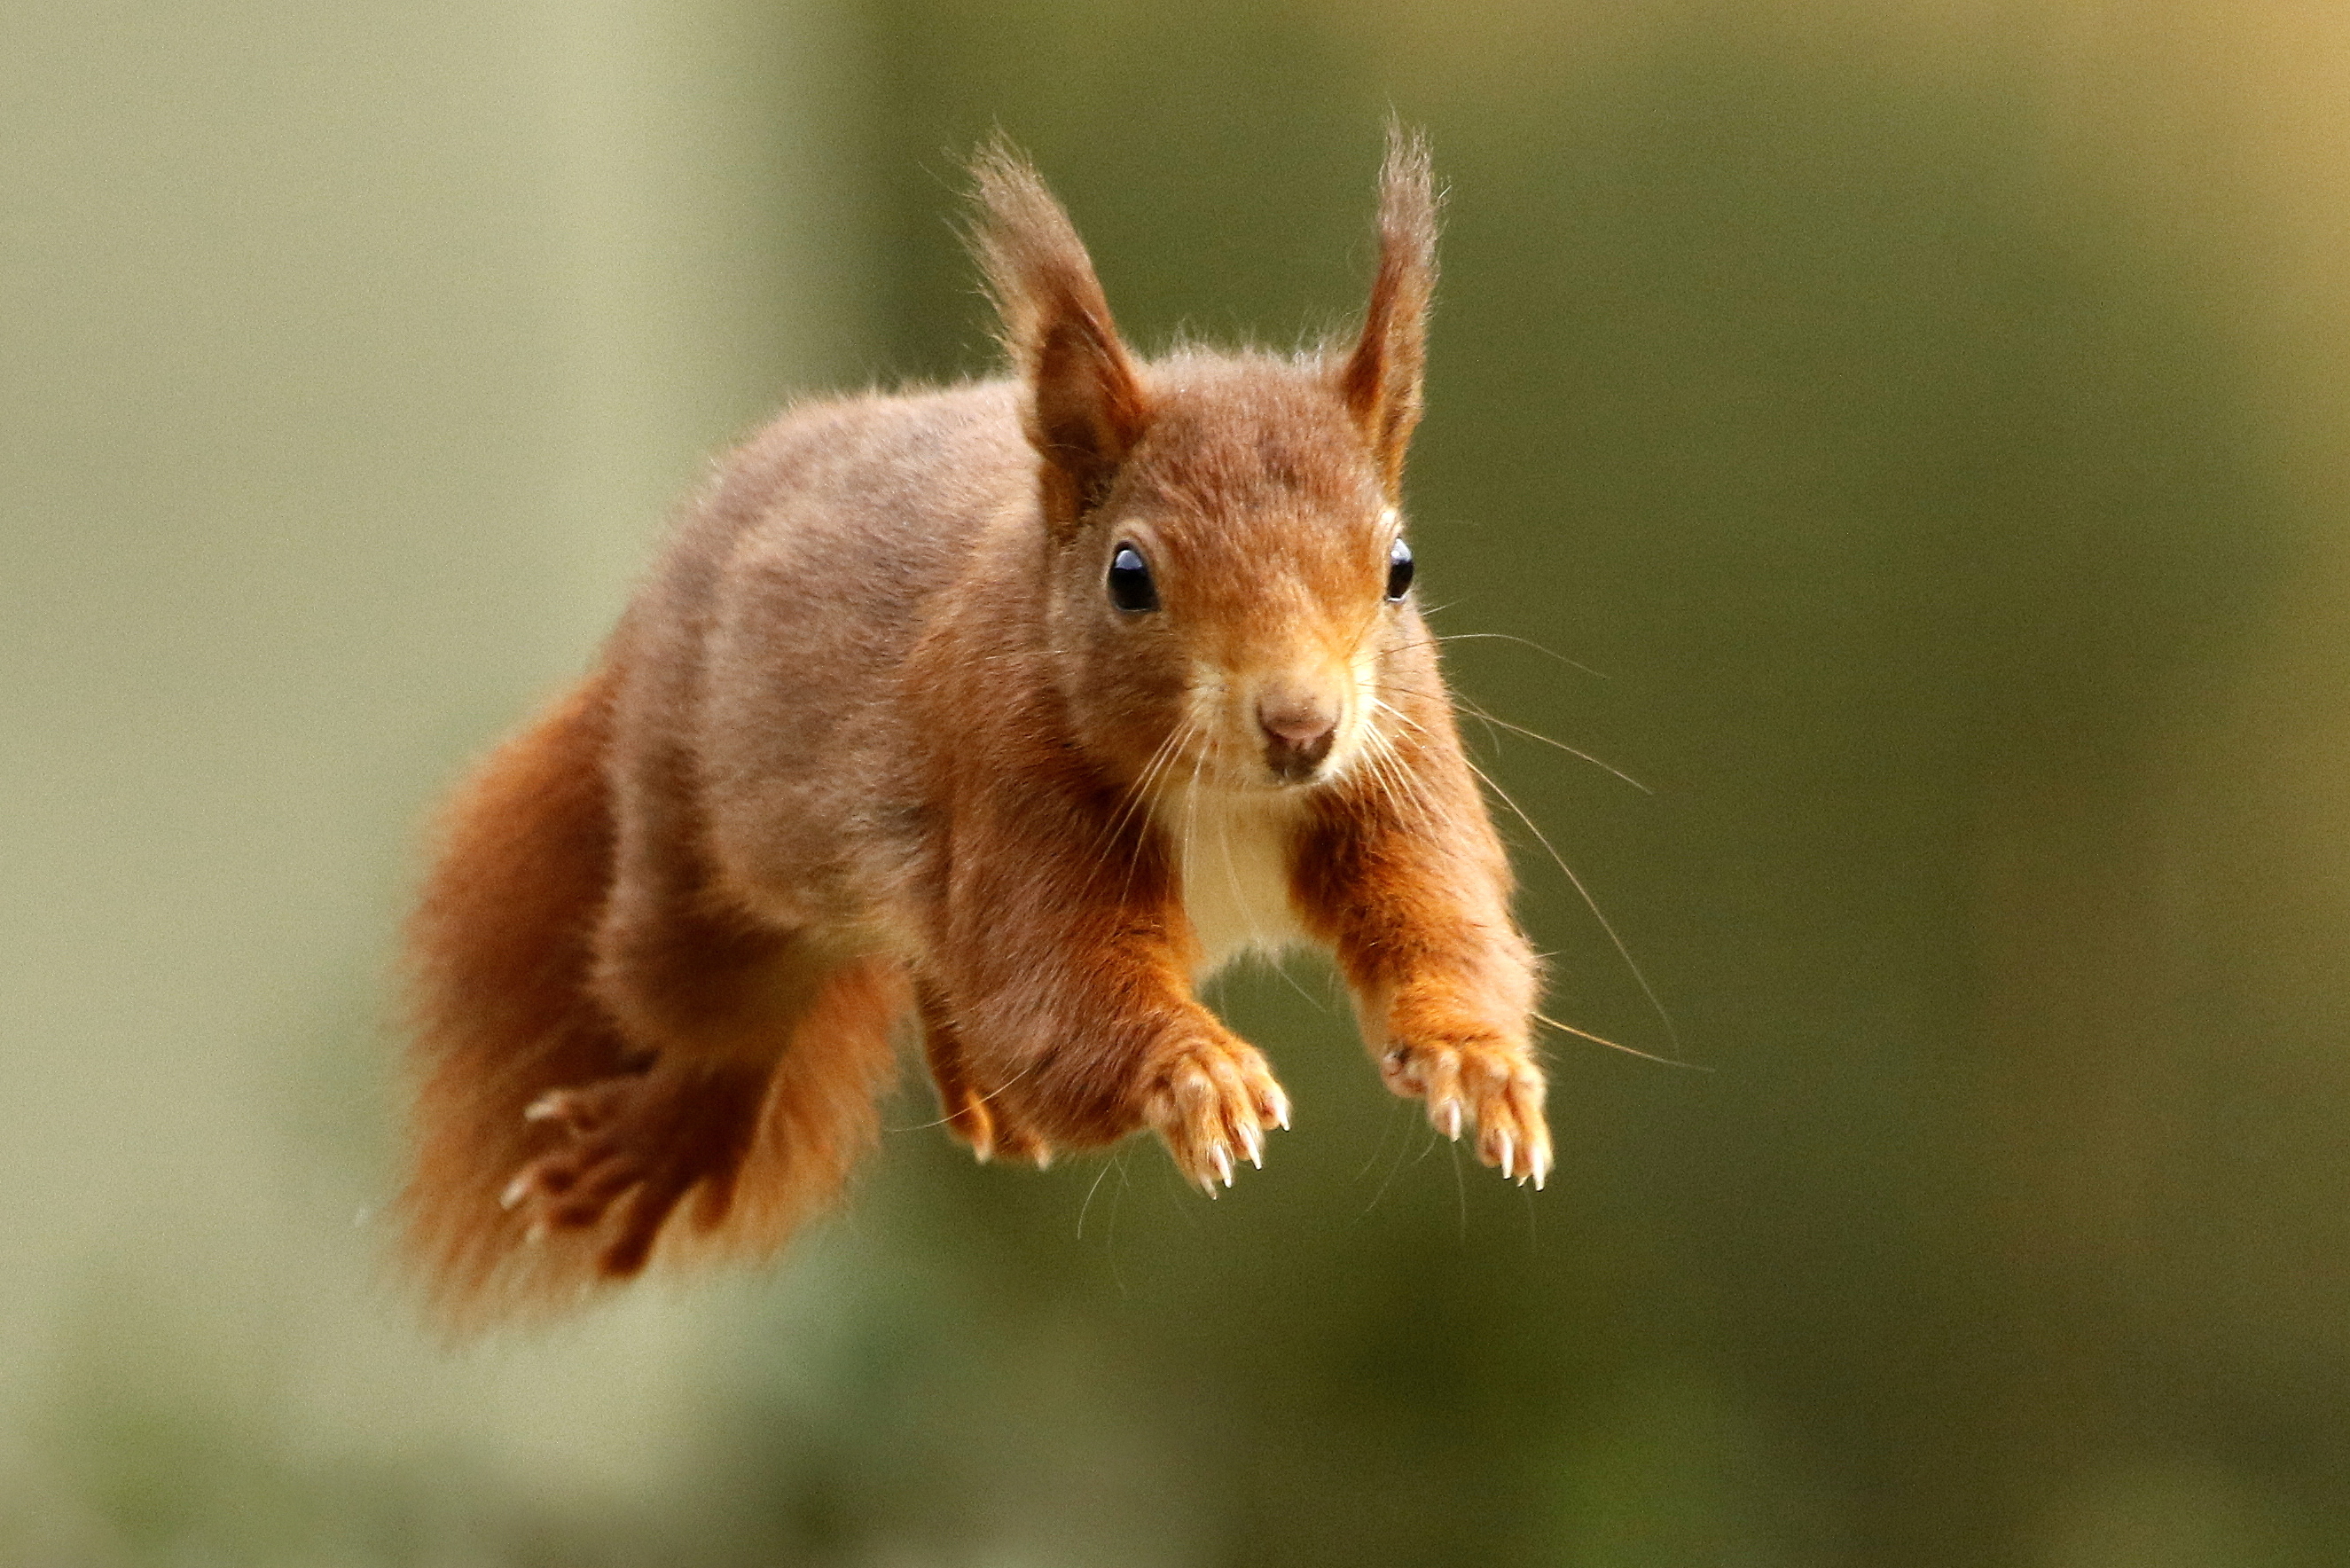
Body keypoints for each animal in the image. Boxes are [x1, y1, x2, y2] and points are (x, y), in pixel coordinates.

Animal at [399, 131, 1541, 1325]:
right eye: (1128, 576)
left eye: (1399, 567)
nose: (1300, 726)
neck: (1227, 796)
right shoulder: (1012, 773)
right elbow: (1054, 997)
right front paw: (1196, 1073)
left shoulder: (1396, 766)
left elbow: (1444, 920)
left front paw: (1477, 1060)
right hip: (691, 856)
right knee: (728, 1006)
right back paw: (675, 1131)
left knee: (937, 968)